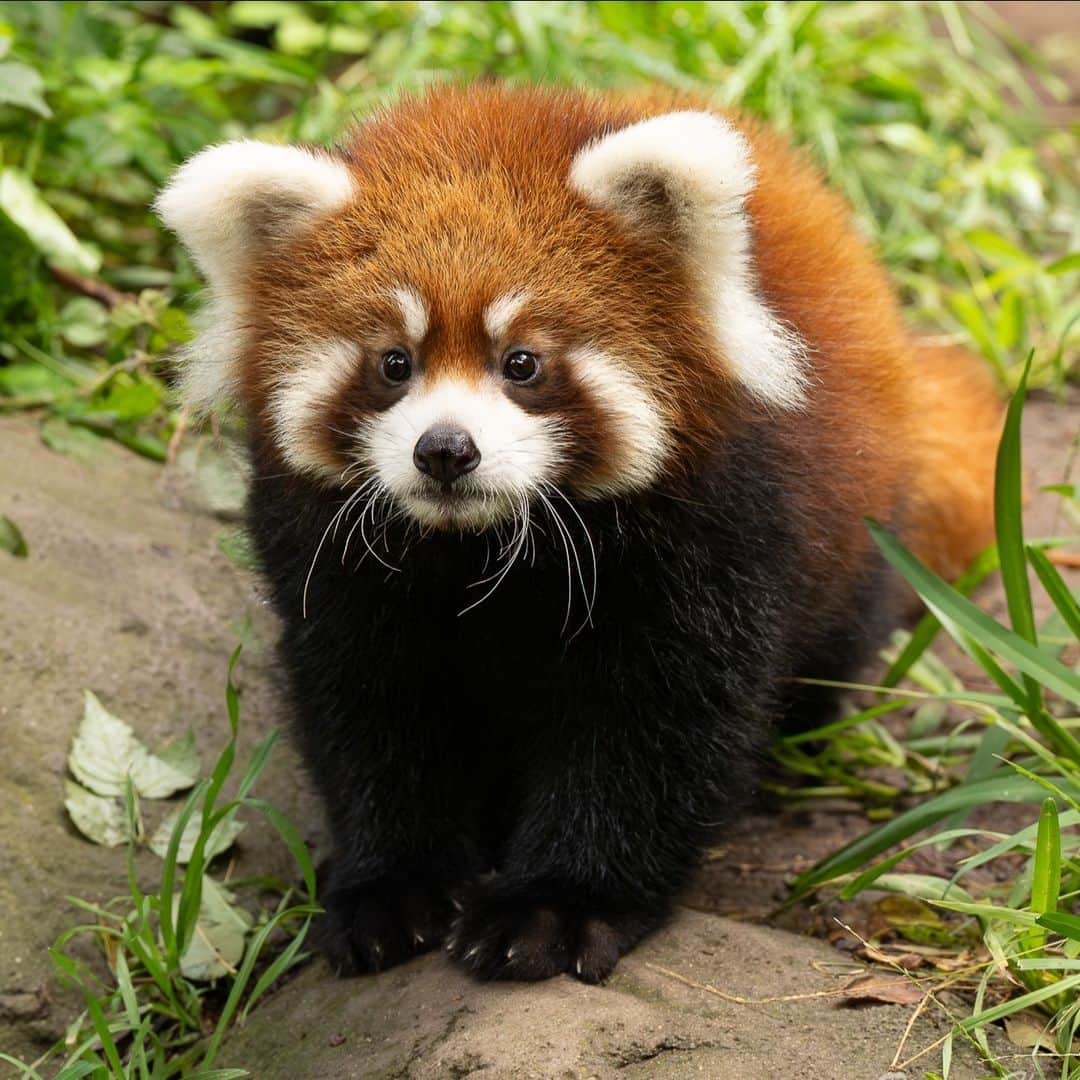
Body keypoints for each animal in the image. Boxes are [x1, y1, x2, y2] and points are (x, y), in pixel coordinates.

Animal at [156, 82, 997, 980]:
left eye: (521, 362)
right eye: (393, 363)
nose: (445, 450)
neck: (480, 551)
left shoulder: (711, 539)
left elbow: (652, 728)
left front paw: (556, 906)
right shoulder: (332, 556)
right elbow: (372, 707)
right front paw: (391, 887)